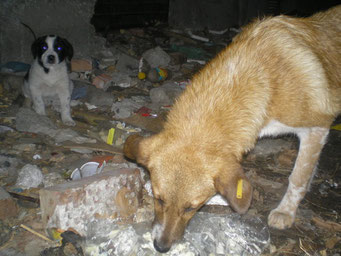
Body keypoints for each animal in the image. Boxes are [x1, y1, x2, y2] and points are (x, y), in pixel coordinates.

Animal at [123, 5, 338, 253]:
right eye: (158, 199)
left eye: (192, 207)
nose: (161, 247)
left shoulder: (317, 127)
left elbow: (298, 177)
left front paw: (286, 211)